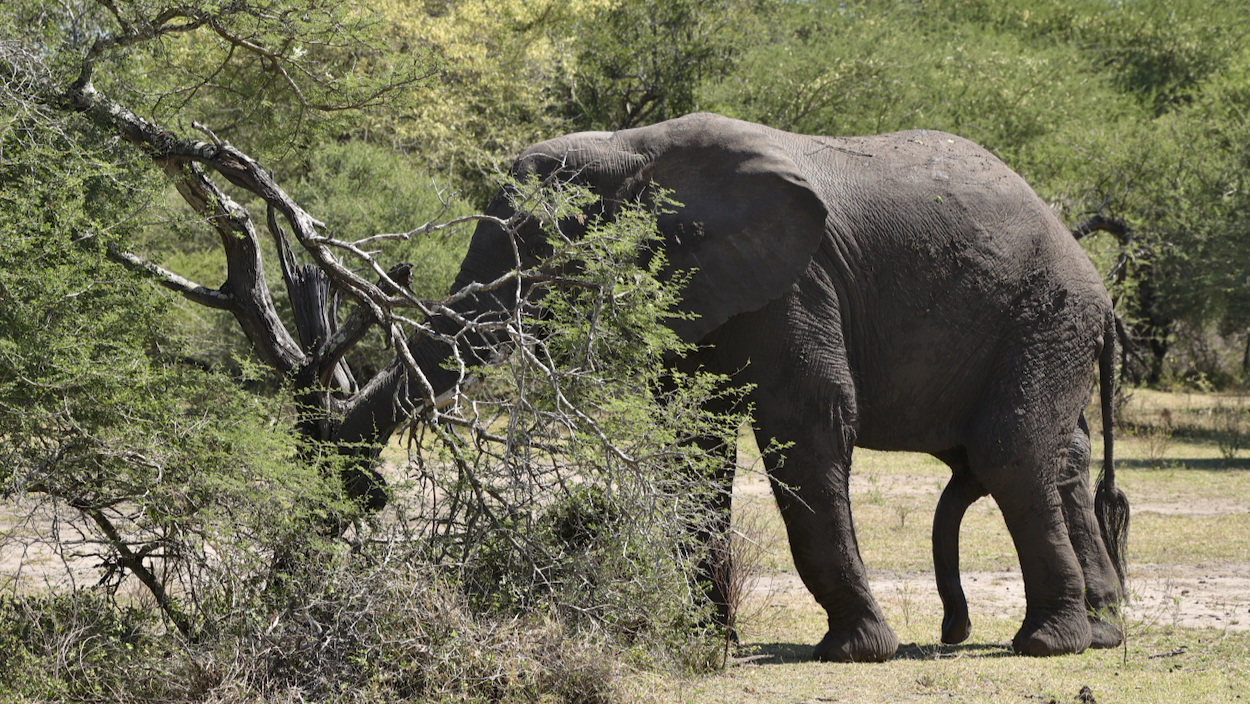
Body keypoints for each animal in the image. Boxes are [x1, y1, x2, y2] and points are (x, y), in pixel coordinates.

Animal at [342, 113, 1135, 665]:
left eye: (550, 240)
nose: (364, 493)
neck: (634, 146)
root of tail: (1093, 276)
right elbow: (693, 439)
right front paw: (699, 639)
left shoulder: (795, 282)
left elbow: (806, 423)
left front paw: (854, 653)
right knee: (1056, 458)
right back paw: (1098, 633)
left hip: (1047, 313)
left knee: (1007, 454)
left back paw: (1048, 644)